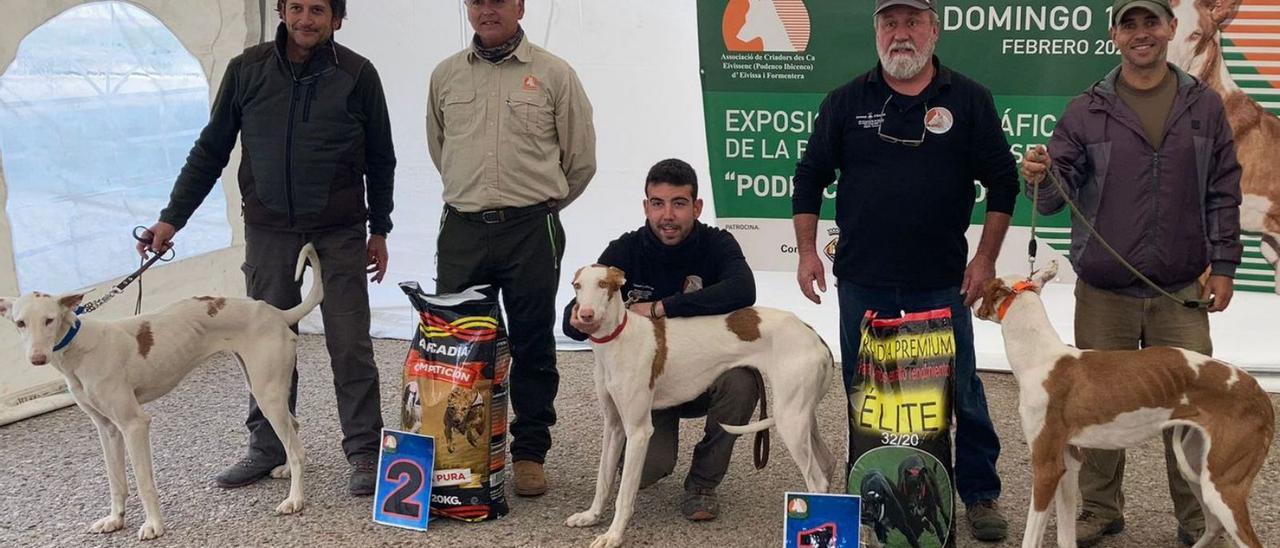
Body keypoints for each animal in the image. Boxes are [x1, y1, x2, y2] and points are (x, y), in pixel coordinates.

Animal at [2, 243, 322, 540]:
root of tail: (274, 312)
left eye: (49, 320)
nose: (37, 358)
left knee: (297, 449)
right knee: (294, 427)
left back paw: (295, 499)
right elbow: (116, 481)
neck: (80, 349)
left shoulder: (134, 424)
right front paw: (115, 519)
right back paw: (286, 471)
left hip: (267, 394)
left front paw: (154, 525)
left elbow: (143, 482)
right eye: (20, 323)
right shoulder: (107, 429)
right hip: (262, 388)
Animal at [565, 265, 834, 548]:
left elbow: (625, 494)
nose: (585, 315)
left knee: (816, 480)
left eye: (603, 284)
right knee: (827, 464)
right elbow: (603, 480)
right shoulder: (615, 426)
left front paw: (614, 535)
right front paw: (591, 516)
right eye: (577, 286)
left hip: (790, 421)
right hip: (801, 416)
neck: (618, 341)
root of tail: (813, 334)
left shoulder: (638, 432)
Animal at [972, 262, 1274, 548]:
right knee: (1213, 526)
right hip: (1197, 466)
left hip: (1223, 484)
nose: (971, 303)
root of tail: (1259, 393)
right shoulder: (1069, 462)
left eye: (985, 288)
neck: (1039, 357)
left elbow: (1030, 537)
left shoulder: (1046, 466)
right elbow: (1065, 537)